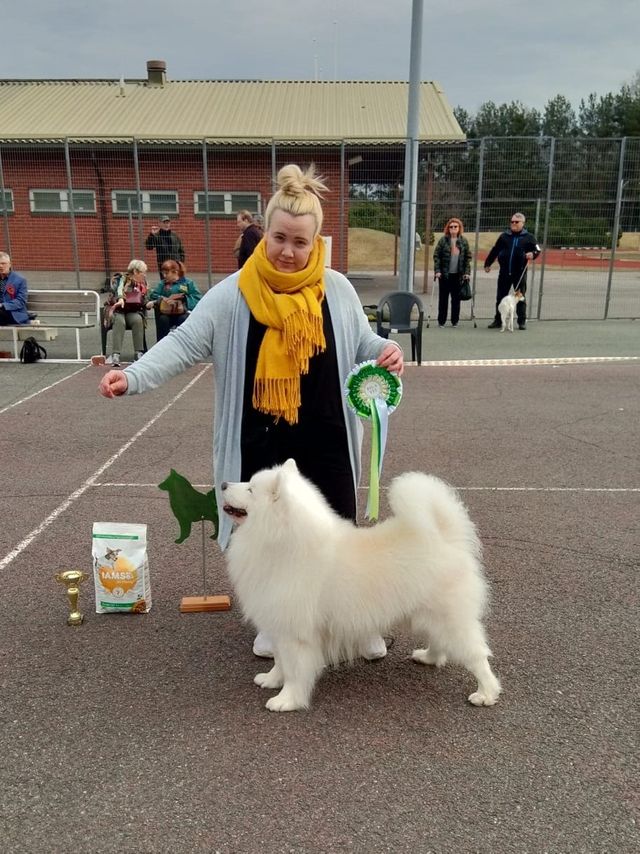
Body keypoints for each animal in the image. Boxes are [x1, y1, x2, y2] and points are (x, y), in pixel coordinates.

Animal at [222, 462, 502, 716]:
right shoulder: (279, 624)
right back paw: (429, 657)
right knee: (439, 640)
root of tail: (445, 537)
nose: (223, 484)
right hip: (426, 614)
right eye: (248, 482)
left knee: (477, 655)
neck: (282, 542)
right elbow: (280, 661)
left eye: (250, 489)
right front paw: (271, 680)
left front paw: (287, 700)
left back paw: (486, 693)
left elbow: (294, 670)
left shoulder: (295, 632)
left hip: (449, 617)